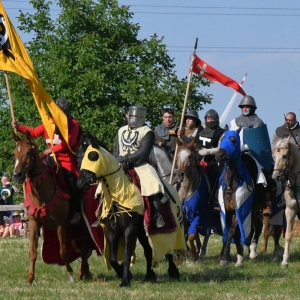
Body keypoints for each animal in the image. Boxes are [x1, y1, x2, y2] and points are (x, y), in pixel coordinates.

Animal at [12, 132, 92, 284]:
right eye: (15, 152)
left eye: (29, 151)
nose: (17, 175)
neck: (42, 191)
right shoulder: (33, 224)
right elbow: (32, 252)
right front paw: (30, 278)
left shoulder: (60, 225)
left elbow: (63, 252)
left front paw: (70, 275)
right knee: (81, 249)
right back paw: (85, 272)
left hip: (83, 225)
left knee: (84, 248)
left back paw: (81, 272)